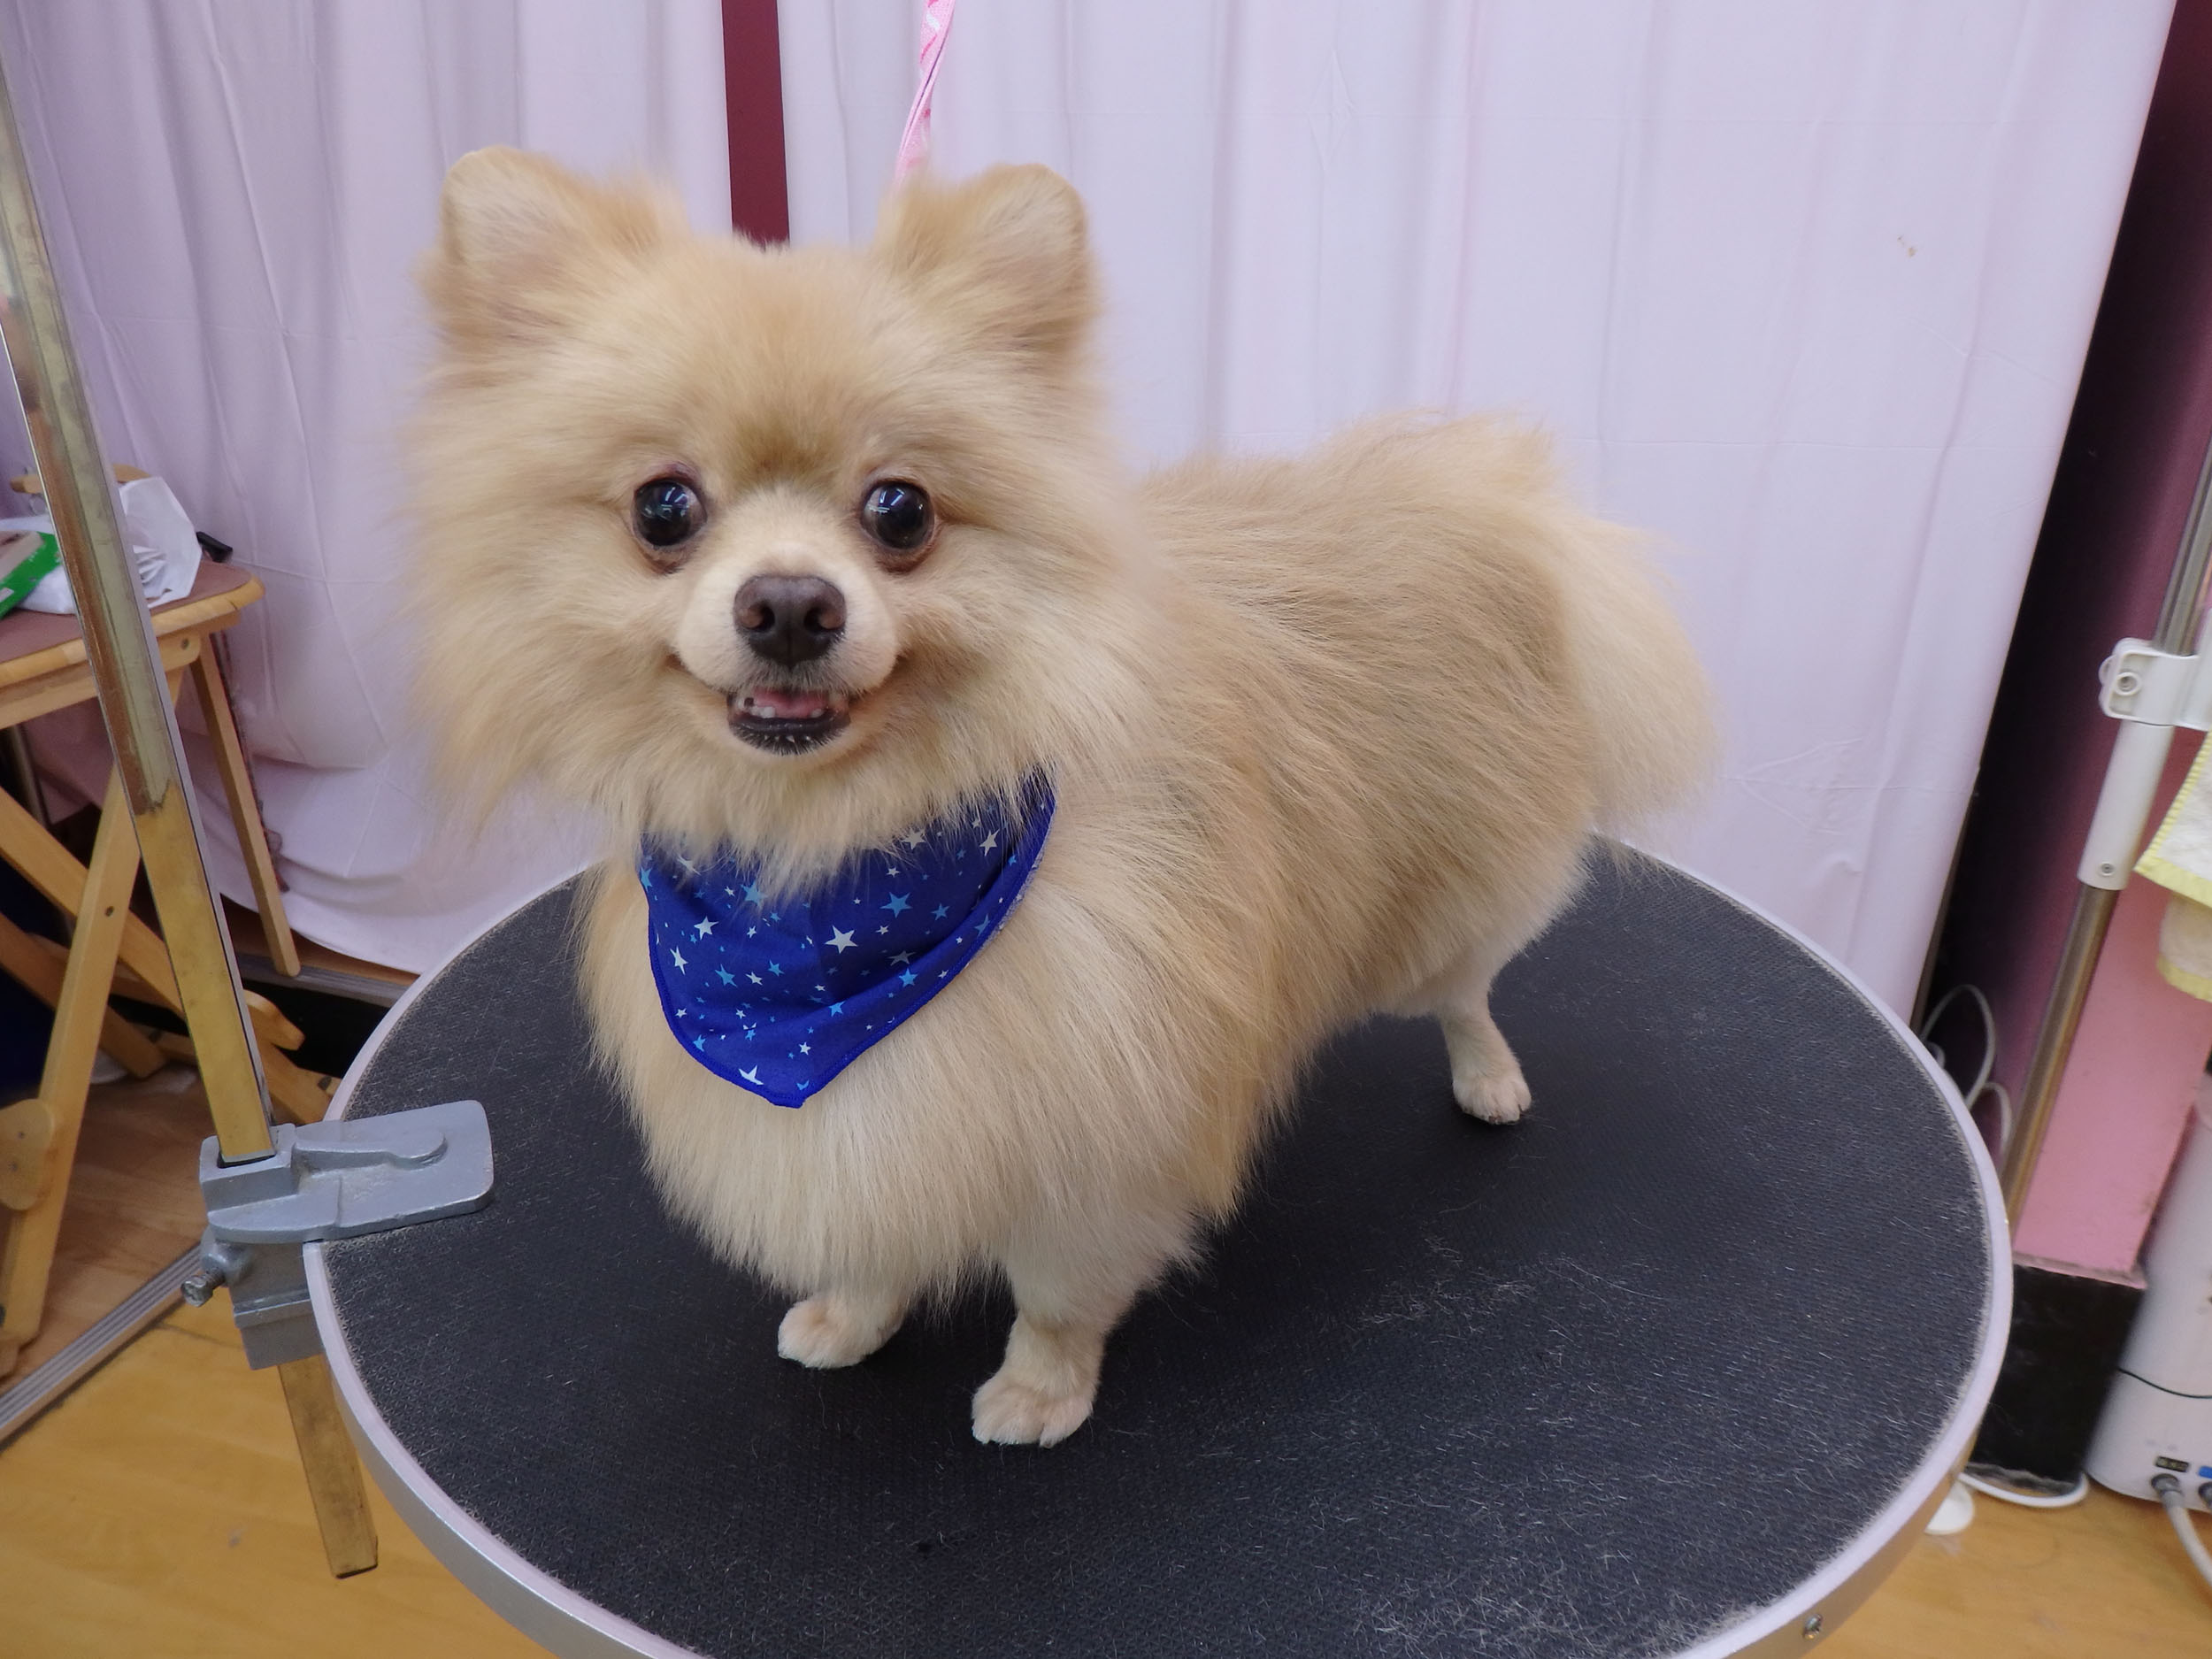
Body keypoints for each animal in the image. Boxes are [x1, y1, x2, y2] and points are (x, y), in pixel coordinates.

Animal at [408, 149, 1712, 1446]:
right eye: (663, 507)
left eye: (900, 510)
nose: (787, 604)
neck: (831, 865)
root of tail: (1476, 502)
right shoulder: (868, 1116)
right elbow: (871, 1224)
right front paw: (855, 1311)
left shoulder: (1102, 1130)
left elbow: (1056, 1290)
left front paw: (1042, 1388)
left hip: (1431, 918)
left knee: (1465, 989)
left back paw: (1488, 1074)